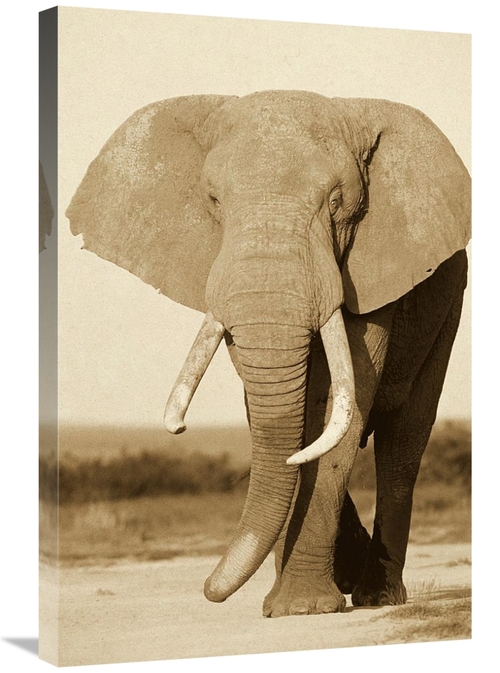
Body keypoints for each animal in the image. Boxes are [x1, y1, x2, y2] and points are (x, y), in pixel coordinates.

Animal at [66, 90, 470, 617]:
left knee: (403, 444)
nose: (209, 590)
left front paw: (302, 608)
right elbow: (281, 416)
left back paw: (377, 596)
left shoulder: (371, 271)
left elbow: (336, 408)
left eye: (338, 203)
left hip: (449, 306)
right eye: (214, 200)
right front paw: (292, 602)